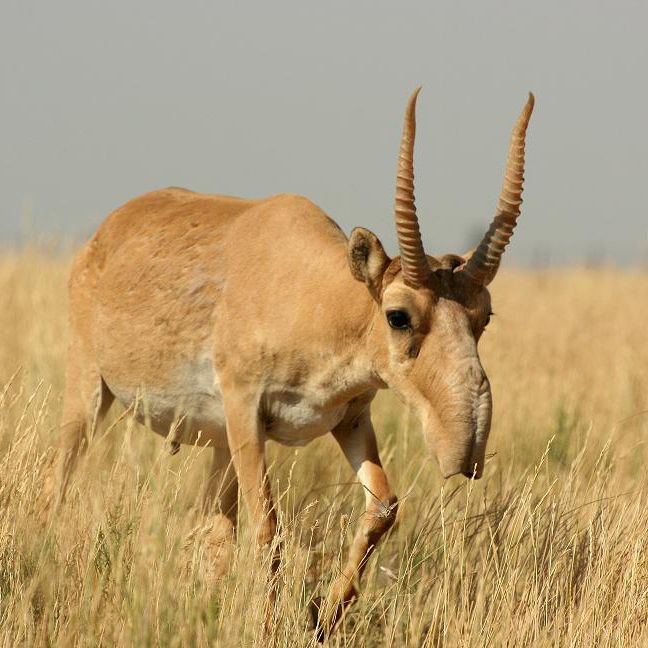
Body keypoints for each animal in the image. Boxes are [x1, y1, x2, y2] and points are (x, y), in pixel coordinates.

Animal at [54, 88, 532, 640]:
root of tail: (107, 231)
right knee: (59, 481)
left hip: (219, 446)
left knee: (211, 533)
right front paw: (269, 626)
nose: (466, 446)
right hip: (90, 393)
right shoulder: (246, 413)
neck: (316, 295)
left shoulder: (350, 418)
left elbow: (383, 507)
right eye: (398, 315)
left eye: (484, 315)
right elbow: (267, 526)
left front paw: (322, 615)